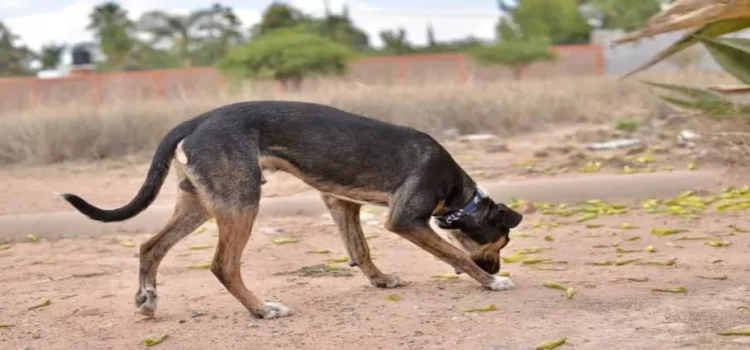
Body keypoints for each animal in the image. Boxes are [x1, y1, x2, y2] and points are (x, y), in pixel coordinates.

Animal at [60, 100, 524, 320]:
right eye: (502, 243)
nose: (498, 267)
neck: (457, 192)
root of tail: (196, 120)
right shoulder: (406, 220)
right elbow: (456, 254)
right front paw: (489, 282)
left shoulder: (341, 202)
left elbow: (360, 250)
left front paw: (380, 281)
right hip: (241, 201)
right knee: (223, 265)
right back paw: (262, 310)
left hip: (200, 203)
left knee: (150, 247)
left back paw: (148, 300)